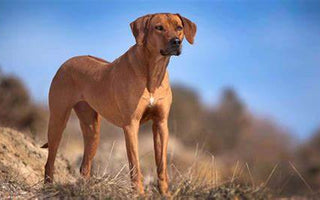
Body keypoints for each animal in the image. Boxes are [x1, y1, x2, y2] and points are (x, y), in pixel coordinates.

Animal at [41, 12, 196, 195]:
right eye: (159, 27)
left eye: (179, 27)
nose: (176, 42)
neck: (153, 71)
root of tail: (66, 62)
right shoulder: (131, 125)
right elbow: (135, 165)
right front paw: (139, 194)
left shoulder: (161, 124)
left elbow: (161, 165)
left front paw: (165, 194)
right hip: (58, 120)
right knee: (50, 161)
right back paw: (49, 188)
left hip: (93, 130)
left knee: (85, 166)